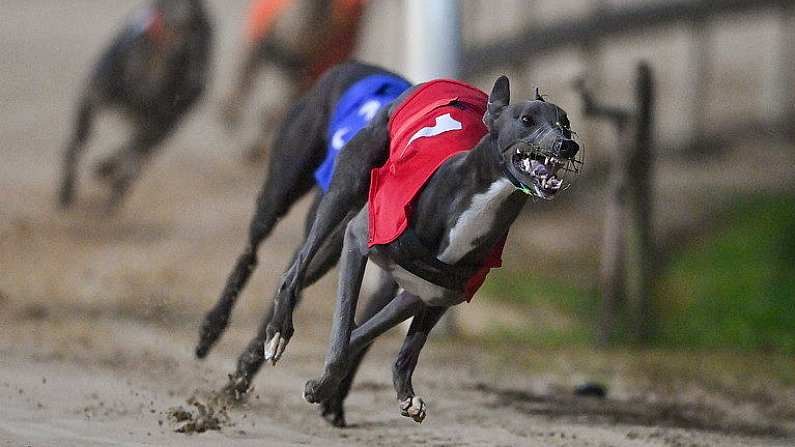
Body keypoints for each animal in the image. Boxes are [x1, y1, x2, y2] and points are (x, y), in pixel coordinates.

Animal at [57, 0, 211, 212]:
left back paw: (110, 179)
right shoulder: (92, 98)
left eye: (200, 44)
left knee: (134, 158)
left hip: (159, 127)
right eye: (194, 43)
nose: (197, 83)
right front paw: (67, 190)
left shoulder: (154, 124)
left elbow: (130, 158)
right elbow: (77, 146)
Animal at [194, 62, 410, 428]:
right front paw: (240, 379)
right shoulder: (318, 252)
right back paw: (212, 329)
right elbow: (283, 299)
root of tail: (354, 65)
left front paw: (334, 400)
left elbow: (360, 335)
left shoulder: (392, 284)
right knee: (251, 251)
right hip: (281, 189)